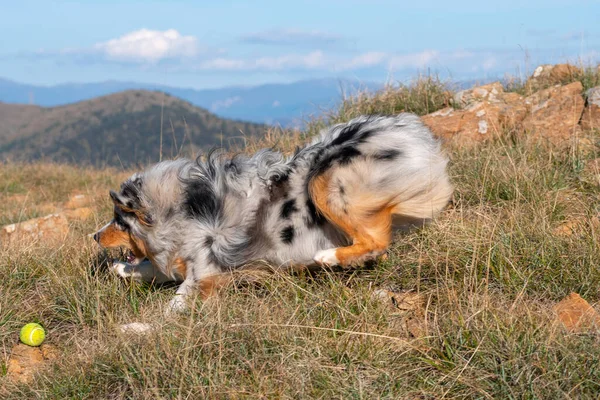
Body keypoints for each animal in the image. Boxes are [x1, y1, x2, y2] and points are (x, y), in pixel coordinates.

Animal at [92, 112, 450, 312]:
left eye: (119, 222)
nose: (94, 236)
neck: (178, 212)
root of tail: (407, 132)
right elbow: (151, 269)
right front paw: (121, 268)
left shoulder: (206, 272)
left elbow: (176, 300)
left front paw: (142, 327)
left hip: (324, 180)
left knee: (376, 241)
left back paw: (328, 257)